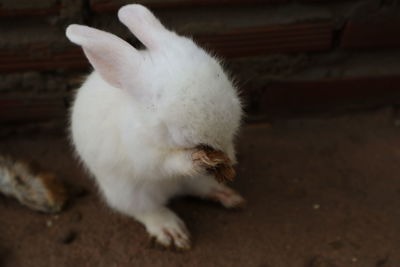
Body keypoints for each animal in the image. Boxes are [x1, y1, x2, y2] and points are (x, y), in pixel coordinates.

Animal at [66, 4, 244, 251]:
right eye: (156, 98)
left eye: (218, 71)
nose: (213, 133)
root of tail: (172, 190)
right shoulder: (143, 153)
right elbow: (165, 163)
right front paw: (194, 160)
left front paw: (229, 158)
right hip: (128, 193)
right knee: (145, 210)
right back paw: (171, 231)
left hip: (187, 183)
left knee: (198, 188)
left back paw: (228, 196)